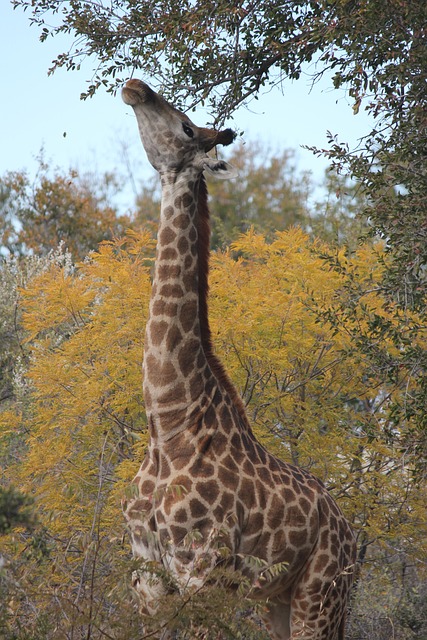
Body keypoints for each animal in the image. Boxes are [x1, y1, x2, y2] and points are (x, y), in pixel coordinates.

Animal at [121, 80, 358, 640]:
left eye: (187, 127)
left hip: (320, 595)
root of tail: (352, 539)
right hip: (278, 600)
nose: (135, 87)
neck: (167, 421)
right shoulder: (148, 578)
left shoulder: (204, 573)